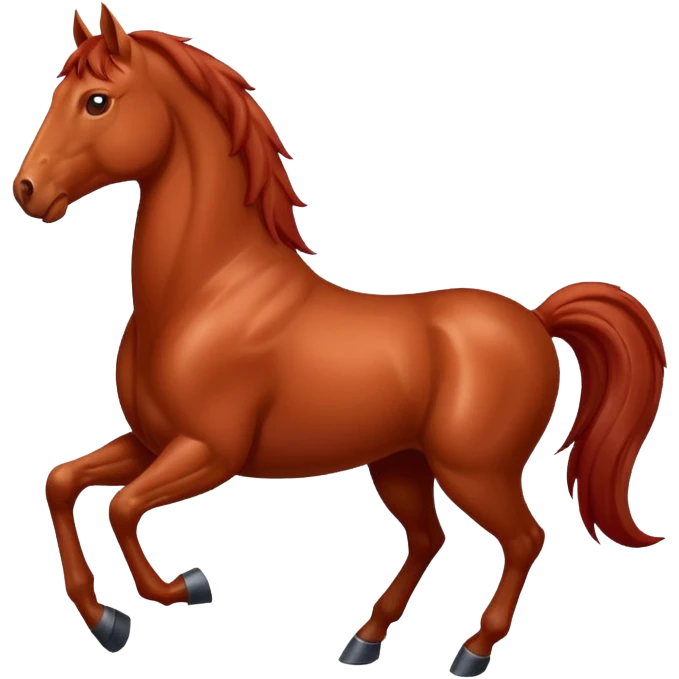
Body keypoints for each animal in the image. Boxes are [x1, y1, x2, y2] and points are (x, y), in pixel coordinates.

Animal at [15, 5, 667, 675]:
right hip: (402, 464)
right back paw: (364, 640)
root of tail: (536, 321)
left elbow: (121, 506)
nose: (27, 191)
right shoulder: (152, 442)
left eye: (97, 101)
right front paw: (107, 620)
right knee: (429, 538)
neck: (206, 293)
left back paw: (471, 651)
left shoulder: (208, 451)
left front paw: (182, 588)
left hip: (476, 471)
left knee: (524, 538)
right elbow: (62, 482)